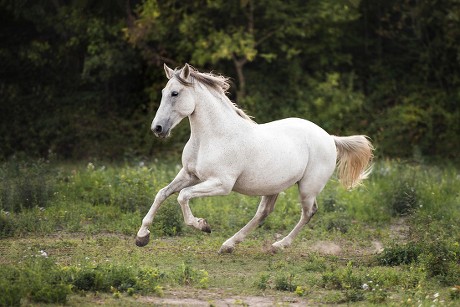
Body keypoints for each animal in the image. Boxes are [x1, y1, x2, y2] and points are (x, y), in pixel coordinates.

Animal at [135, 63, 372, 254]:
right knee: (263, 213)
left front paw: (203, 225)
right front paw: (142, 237)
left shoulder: (221, 184)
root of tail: (329, 138)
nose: (157, 128)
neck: (212, 137)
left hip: (307, 187)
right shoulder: (189, 174)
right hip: (273, 186)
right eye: (164, 92)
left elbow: (182, 196)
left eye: (175, 93)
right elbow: (162, 193)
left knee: (308, 213)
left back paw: (278, 246)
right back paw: (228, 245)